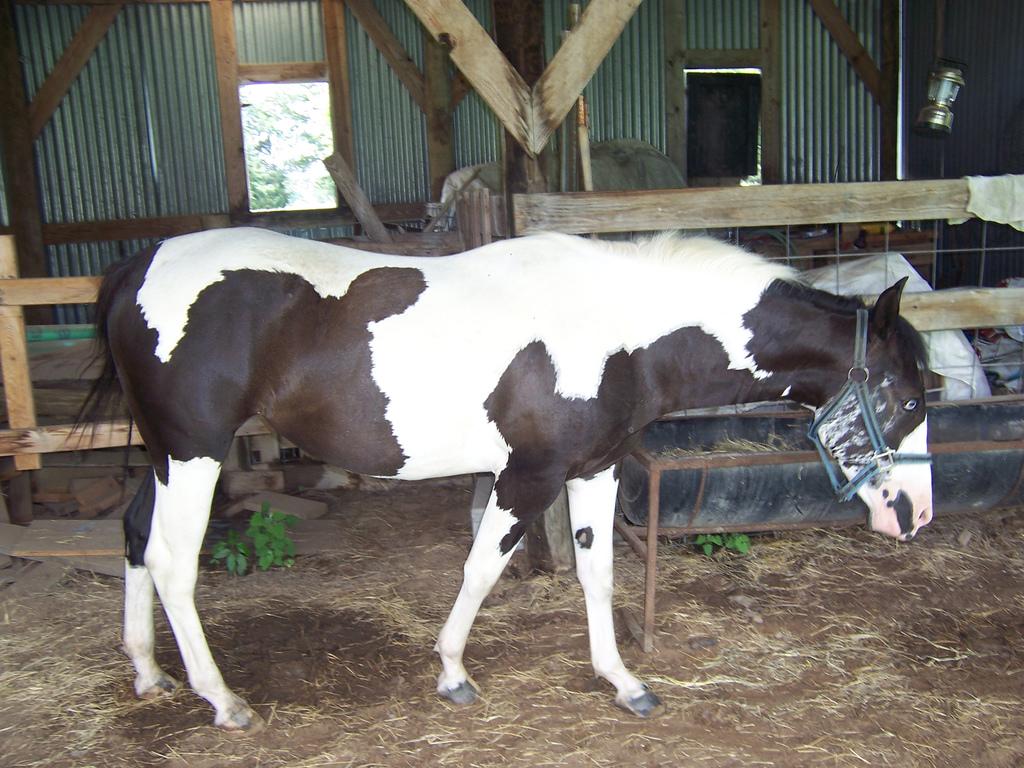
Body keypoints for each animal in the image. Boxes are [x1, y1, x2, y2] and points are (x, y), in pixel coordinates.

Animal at [83, 227, 933, 731]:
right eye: (909, 397)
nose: (915, 513)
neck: (621, 328)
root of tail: (137, 268)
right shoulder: (527, 475)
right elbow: (481, 569)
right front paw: (453, 671)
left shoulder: (594, 470)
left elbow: (596, 574)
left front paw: (622, 680)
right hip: (193, 455)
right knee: (172, 564)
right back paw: (222, 700)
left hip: (167, 457)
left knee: (134, 537)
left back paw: (148, 673)